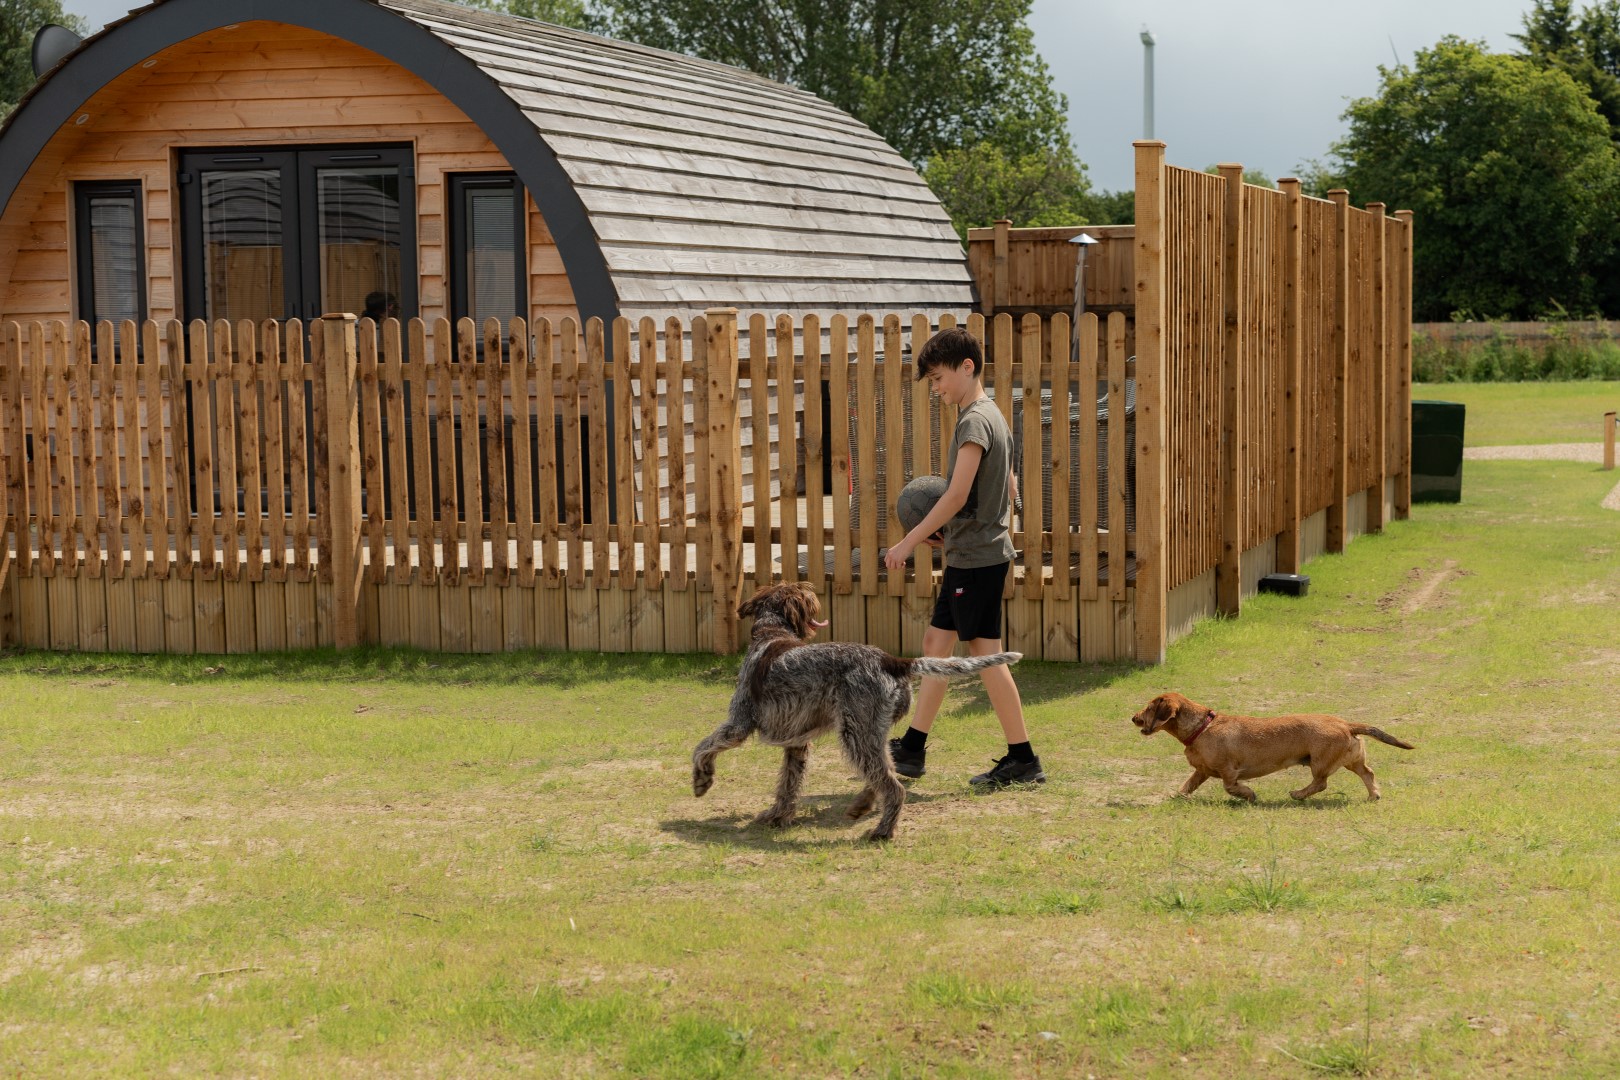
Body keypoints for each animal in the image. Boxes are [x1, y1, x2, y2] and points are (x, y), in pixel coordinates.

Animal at [686, 582, 1017, 841]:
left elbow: (702, 747)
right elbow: (788, 785)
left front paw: (702, 780)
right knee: (884, 772)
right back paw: (862, 805)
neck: (771, 632)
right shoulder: (796, 744)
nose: (812, 590)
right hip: (870, 733)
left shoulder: (739, 724)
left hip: (855, 733)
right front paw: (778, 816)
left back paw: (882, 830)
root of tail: (892, 660)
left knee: (893, 786)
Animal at [1134, 693, 1412, 803]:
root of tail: (1346, 724)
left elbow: (1230, 786)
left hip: (1319, 763)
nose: (1133, 718)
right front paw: (1175, 796)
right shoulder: (1200, 771)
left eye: (1149, 707)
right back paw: (1373, 795)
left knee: (1320, 784)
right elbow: (1187, 786)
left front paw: (1248, 795)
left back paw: (1298, 794)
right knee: (1368, 774)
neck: (1203, 726)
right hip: (1353, 761)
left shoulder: (1228, 770)